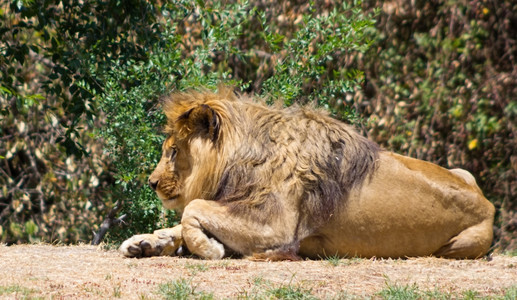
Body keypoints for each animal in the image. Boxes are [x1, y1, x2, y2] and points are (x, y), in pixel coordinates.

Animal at [119, 87, 494, 260]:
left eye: (172, 151)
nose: (151, 183)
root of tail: (488, 205)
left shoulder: (276, 226)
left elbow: (193, 209)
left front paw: (209, 248)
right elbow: (179, 223)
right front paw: (145, 242)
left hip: (460, 246)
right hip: (463, 171)